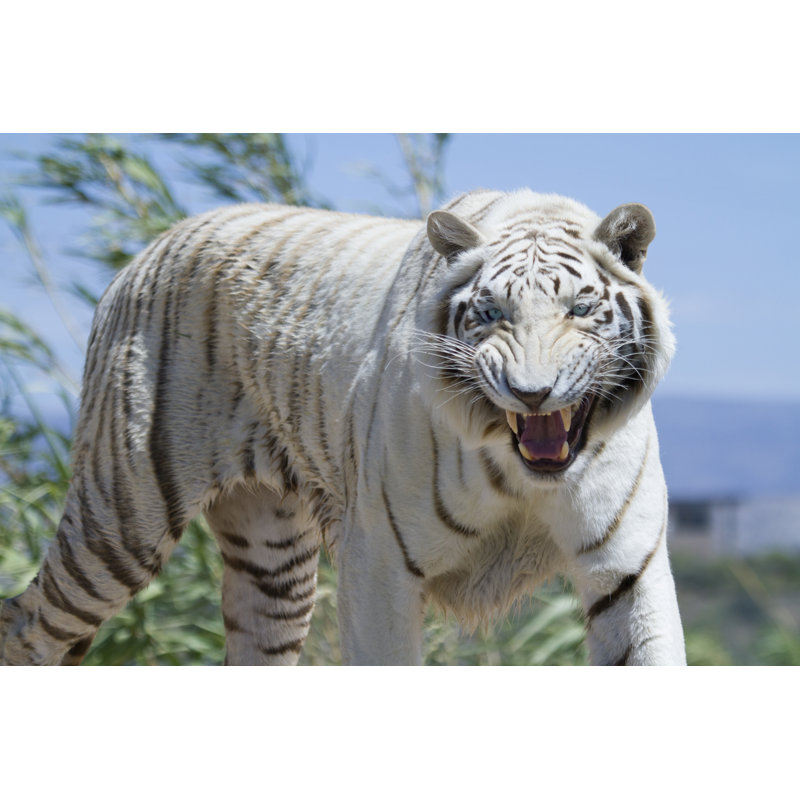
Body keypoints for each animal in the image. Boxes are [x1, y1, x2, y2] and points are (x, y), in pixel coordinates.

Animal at [0, 188, 685, 666]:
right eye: (491, 313)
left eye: (581, 309)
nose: (531, 393)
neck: (521, 475)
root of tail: (147, 249)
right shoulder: (381, 561)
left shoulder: (627, 567)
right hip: (120, 519)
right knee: (26, 623)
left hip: (272, 564)